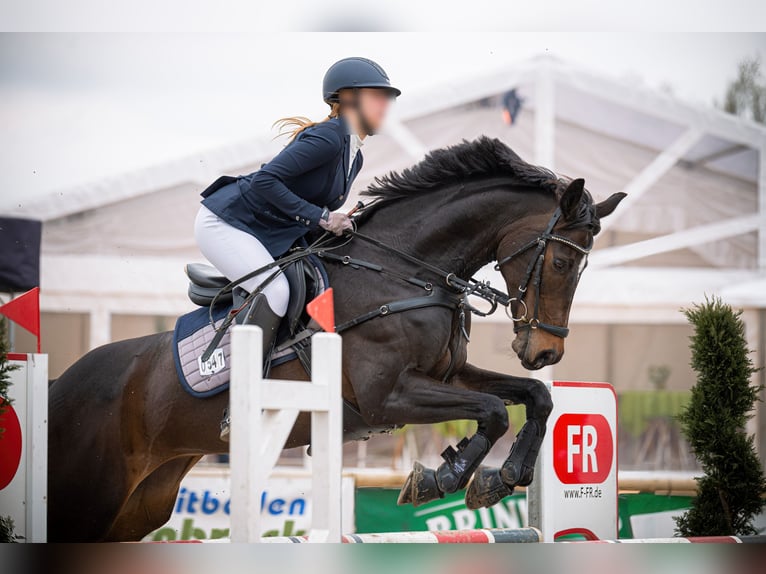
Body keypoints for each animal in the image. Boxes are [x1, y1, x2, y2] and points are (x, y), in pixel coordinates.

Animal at [45, 137, 628, 544]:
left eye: (581, 267)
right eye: (560, 262)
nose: (545, 352)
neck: (407, 272)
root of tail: (58, 386)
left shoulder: (446, 375)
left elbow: (535, 397)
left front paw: (501, 477)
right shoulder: (385, 396)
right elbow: (492, 410)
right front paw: (446, 476)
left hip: (137, 504)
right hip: (90, 499)